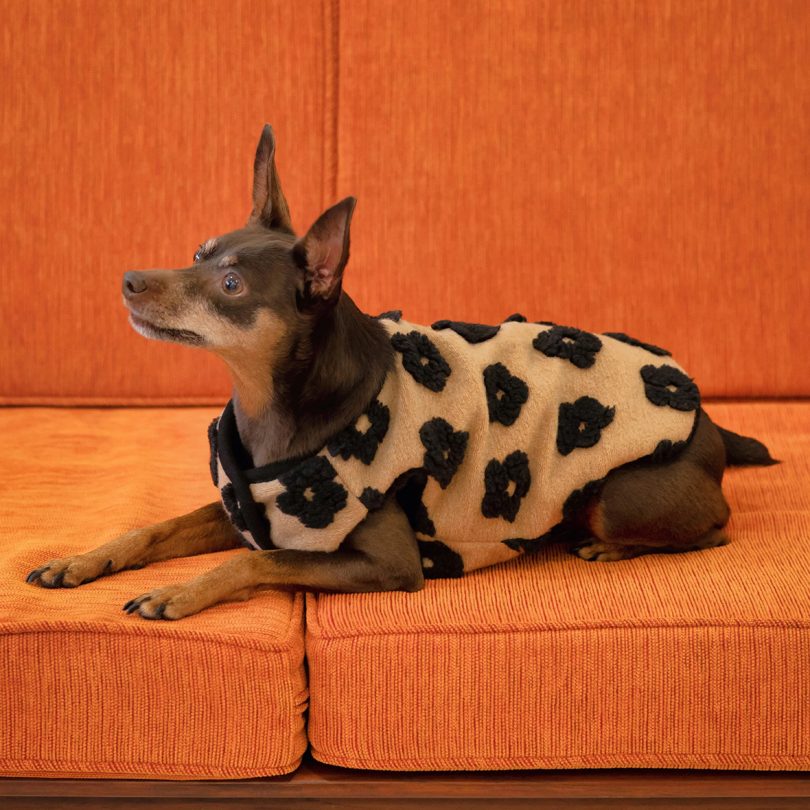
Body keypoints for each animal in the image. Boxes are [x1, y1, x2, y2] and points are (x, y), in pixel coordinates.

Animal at [25, 124, 772, 620]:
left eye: (231, 284)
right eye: (198, 252)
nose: (128, 280)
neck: (272, 405)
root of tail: (708, 419)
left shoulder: (386, 563)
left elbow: (256, 558)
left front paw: (178, 591)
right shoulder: (246, 506)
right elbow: (154, 528)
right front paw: (81, 561)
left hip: (619, 499)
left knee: (714, 527)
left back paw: (611, 549)